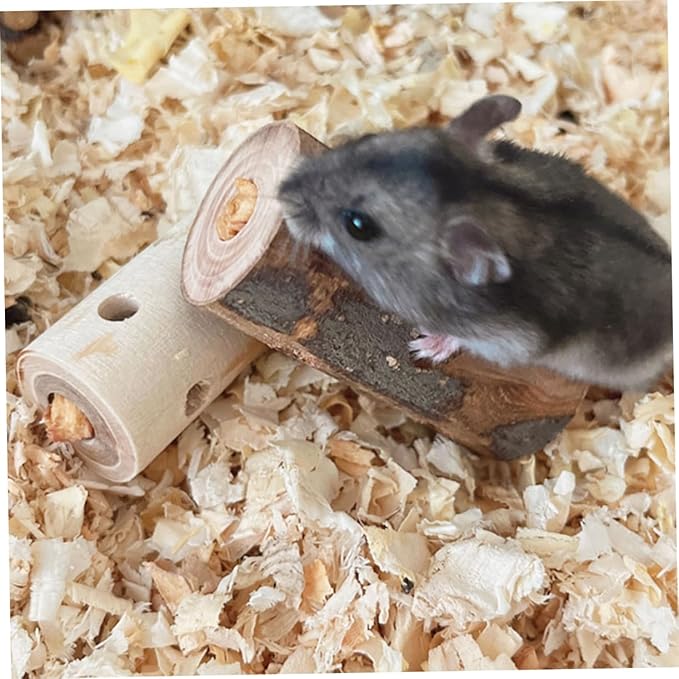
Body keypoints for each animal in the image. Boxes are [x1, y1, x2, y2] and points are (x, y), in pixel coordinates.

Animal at [276, 95, 672, 392]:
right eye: (364, 140)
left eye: (358, 226)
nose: (282, 192)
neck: (488, 199)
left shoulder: (509, 340)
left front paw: (424, 345)